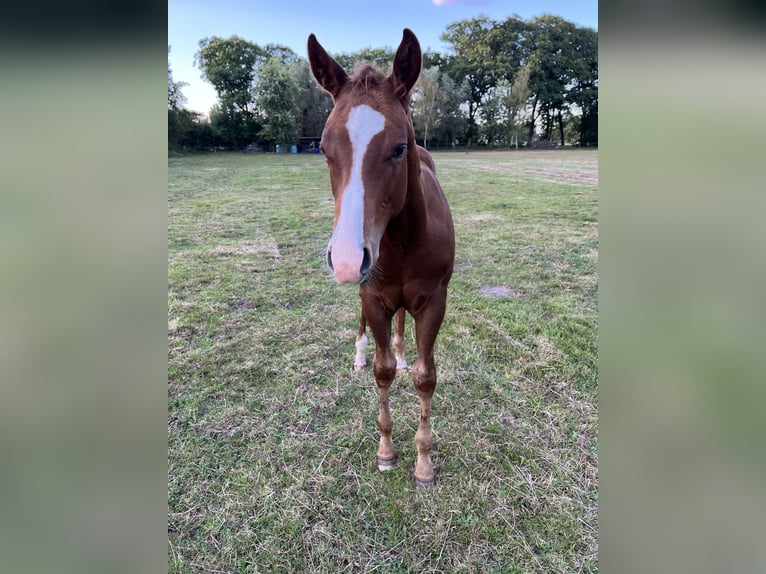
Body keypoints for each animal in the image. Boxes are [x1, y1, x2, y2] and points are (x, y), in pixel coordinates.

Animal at [308, 29, 455, 488]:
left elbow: (426, 377)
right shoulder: (373, 298)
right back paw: (357, 354)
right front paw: (386, 451)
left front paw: (423, 464)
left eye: (399, 148)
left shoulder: (434, 301)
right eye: (323, 148)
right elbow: (381, 371)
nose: (346, 259)